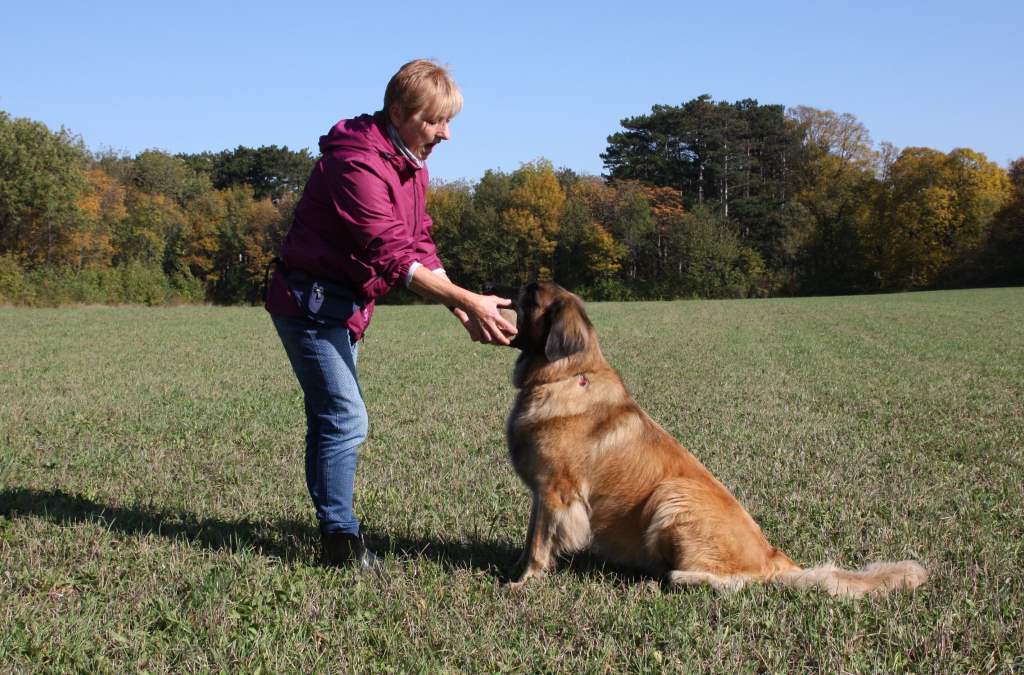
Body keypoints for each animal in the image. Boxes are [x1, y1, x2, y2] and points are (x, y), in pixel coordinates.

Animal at [503, 282, 929, 598]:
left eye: (533, 296)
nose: (513, 285)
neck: (562, 374)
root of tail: (774, 556)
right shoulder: (542, 493)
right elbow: (530, 537)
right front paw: (514, 568)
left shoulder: (557, 491)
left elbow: (540, 543)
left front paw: (523, 582)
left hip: (670, 495)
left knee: (738, 581)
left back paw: (676, 576)